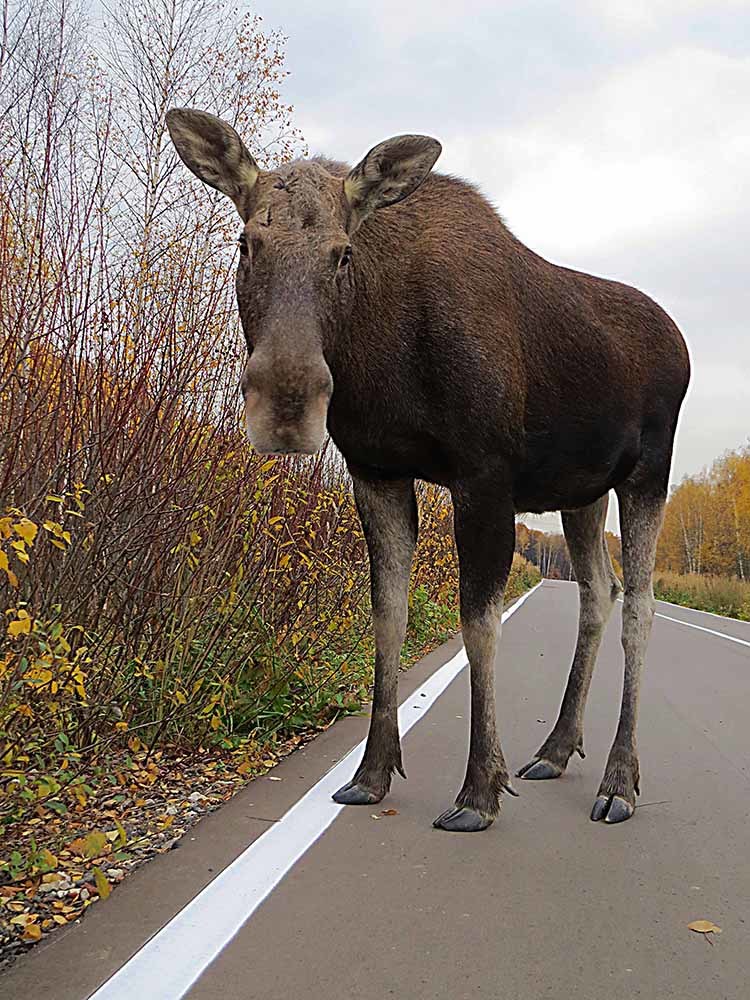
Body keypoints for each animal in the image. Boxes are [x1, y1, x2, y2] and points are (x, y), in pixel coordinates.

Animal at [167, 109, 692, 832]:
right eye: (247, 243)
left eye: (343, 253)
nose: (286, 405)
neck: (376, 359)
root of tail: (684, 344)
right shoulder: (376, 470)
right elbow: (388, 613)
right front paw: (371, 772)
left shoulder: (484, 474)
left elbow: (479, 624)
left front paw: (479, 789)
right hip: (582, 492)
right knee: (598, 590)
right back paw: (556, 748)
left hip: (647, 472)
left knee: (640, 604)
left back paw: (619, 780)